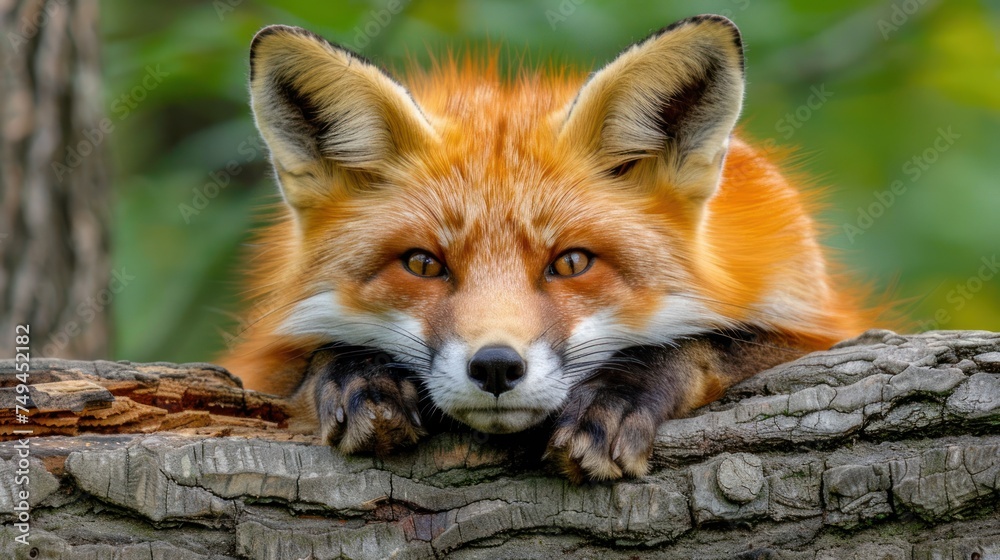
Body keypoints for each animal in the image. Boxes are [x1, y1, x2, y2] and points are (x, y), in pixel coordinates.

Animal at [222, 15, 873, 482]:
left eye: (572, 262)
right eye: (423, 264)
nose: (495, 366)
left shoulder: (824, 325)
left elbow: (710, 341)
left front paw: (616, 396)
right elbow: (305, 364)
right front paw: (359, 373)